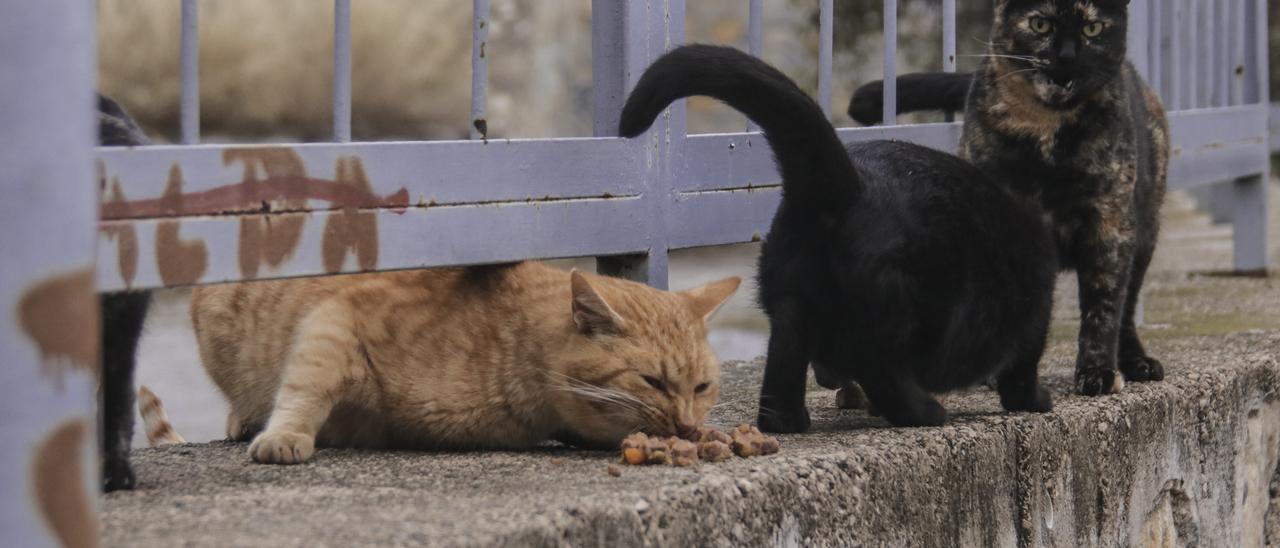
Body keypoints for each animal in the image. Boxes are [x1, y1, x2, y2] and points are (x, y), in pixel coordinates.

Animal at [185, 261, 737, 463]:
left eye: (702, 387)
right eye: (653, 381)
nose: (688, 426)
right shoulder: (340, 318)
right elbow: (306, 387)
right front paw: (285, 435)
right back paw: (245, 418)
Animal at [622, 46, 1059, 432]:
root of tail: (849, 184)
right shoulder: (1035, 307)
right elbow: (1022, 368)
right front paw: (1035, 401)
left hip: (792, 303)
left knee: (787, 360)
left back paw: (790, 421)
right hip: (900, 311)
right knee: (882, 369)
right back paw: (924, 412)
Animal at [849, 0, 1172, 396]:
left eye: (1092, 29)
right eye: (1040, 24)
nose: (1066, 56)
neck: (1046, 127)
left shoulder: (1110, 223)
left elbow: (1105, 306)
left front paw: (1096, 371)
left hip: (1145, 233)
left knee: (1127, 305)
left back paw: (1135, 362)